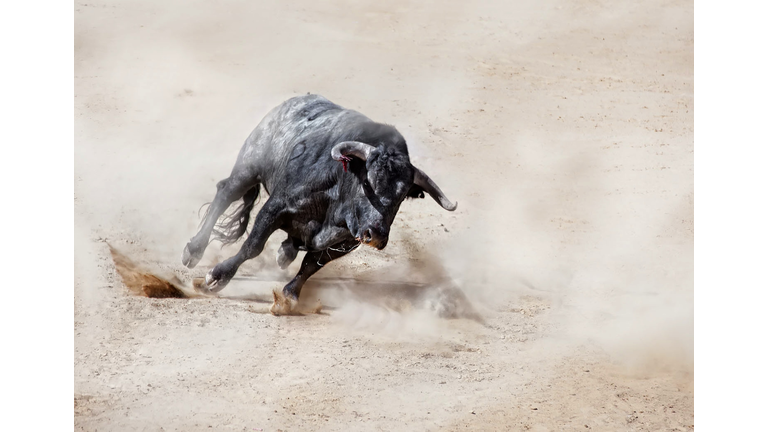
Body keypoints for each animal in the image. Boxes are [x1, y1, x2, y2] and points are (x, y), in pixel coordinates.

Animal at [182, 94, 456, 314]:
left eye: (401, 196)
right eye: (368, 182)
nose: (376, 235)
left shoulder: (344, 243)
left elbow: (311, 265)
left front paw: (289, 298)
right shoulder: (276, 207)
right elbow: (253, 246)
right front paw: (216, 277)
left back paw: (286, 251)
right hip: (248, 167)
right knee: (225, 194)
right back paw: (193, 250)